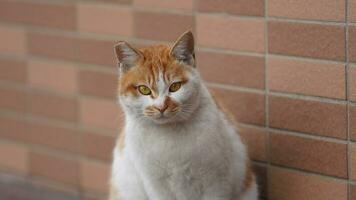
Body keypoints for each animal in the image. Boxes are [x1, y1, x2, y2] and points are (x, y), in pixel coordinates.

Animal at [108, 30, 256, 200]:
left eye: (175, 86)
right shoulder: (156, 186)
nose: (161, 106)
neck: (168, 135)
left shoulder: (216, 182)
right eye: (144, 89)